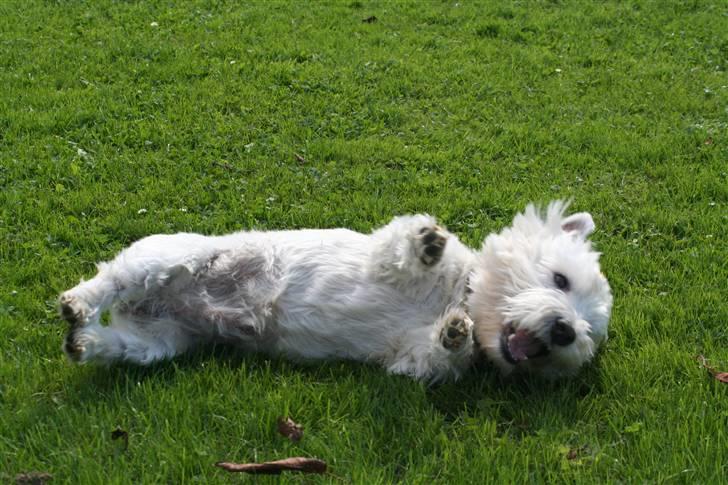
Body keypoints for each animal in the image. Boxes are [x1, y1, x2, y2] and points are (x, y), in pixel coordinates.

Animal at [59, 200, 612, 382]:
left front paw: (454, 333)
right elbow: (404, 247)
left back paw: (84, 341)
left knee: (121, 345)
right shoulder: (382, 256)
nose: (566, 330)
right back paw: (77, 303)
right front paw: (428, 244)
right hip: (166, 258)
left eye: (591, 330)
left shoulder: (408, 355)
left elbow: (432, 357)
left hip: (164, 341)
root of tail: (145, 304)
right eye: (560, 280)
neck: (457, 292)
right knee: (110, 277)